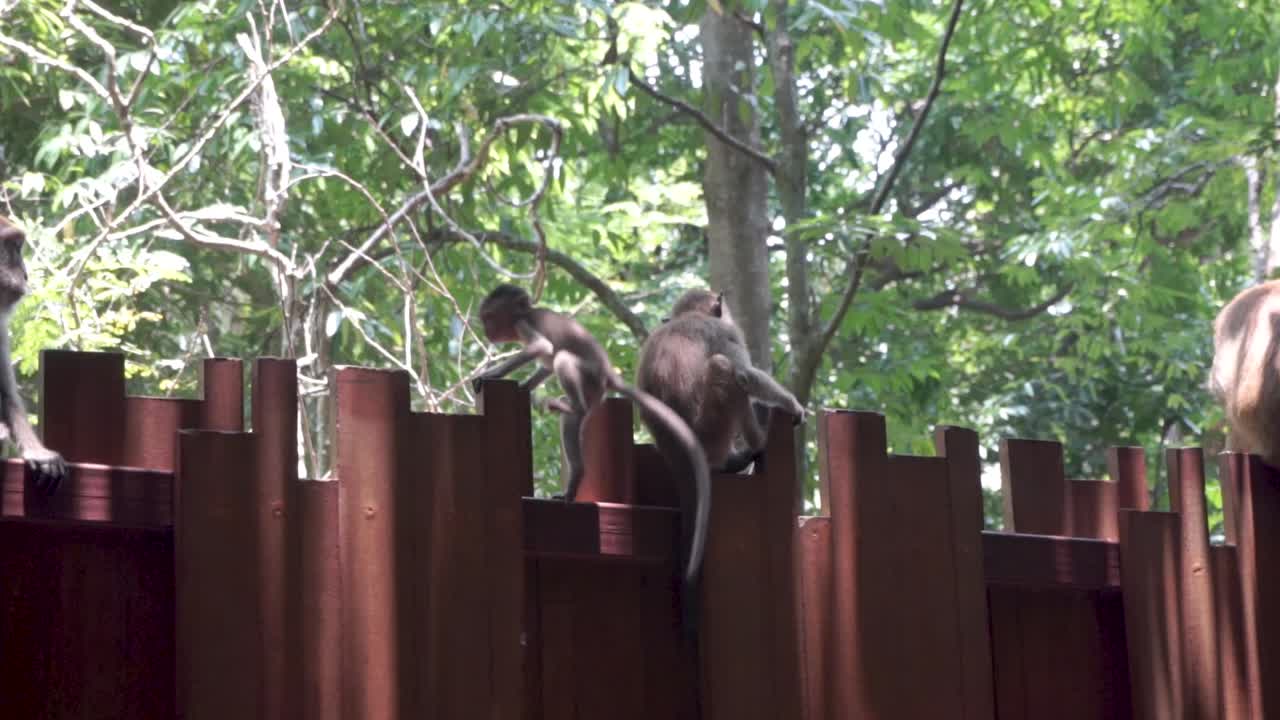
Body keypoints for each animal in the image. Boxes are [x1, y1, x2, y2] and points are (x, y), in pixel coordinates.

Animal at [470, 284, 712, 605]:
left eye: (489, 317)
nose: (486, 330)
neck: (526, 313)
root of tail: (608, 375)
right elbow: (544, 365)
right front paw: (523, 386)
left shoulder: (524, 325)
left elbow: (542, 350)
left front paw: (491, 374)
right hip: (594, 391)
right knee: (569, 412)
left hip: (589, 379)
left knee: (563, 360)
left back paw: (571, 408)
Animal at [637, 289, 806, 477]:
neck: (689, 315)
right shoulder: (725, 331)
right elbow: (744, 375)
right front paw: (791, 404)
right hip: (711, 433)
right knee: (722, 365)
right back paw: (757, 442)